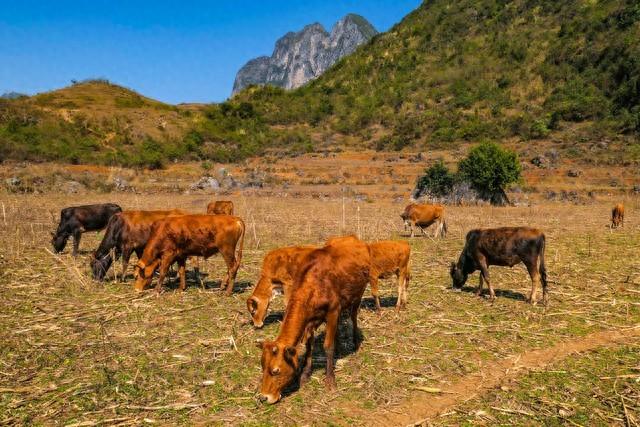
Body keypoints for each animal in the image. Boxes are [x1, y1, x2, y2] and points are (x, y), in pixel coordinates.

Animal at [256, 237, 370, 404]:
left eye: (276, 371)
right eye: (263, 367)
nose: (263, 397)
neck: (313, 285)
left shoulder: (333, 311)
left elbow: (328, 346)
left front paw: (330, 380)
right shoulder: (309, 320)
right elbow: (309, 343)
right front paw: (305, 374)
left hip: (358, 293)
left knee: (353, 316)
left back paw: (355, 341)